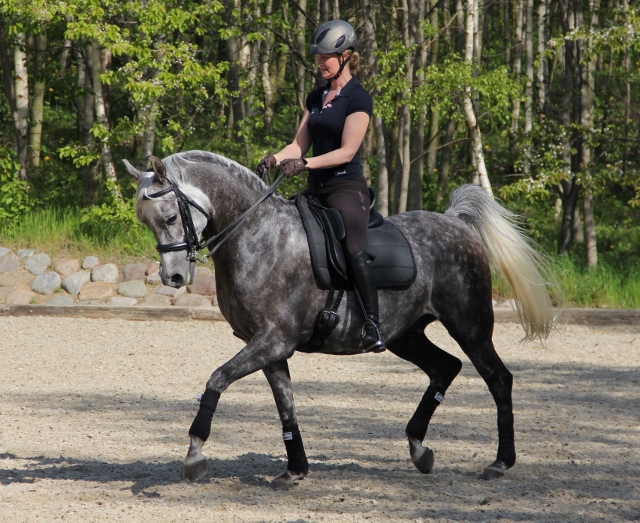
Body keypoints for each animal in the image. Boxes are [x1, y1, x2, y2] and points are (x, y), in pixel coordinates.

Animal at [125, 150, 556, 492]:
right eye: (148, 222)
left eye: (169, 216)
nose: (173, 278)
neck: (256, 236)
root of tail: (455, 223)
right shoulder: (269, 347)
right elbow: (286, 406)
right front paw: (295, 470)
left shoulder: (273, 341)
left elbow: (216, 379)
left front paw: (195, 453)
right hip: (406, 334)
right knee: (445, 367)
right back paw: (419, 448)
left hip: (470, 325)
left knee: (498, 379)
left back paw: (500, 461)